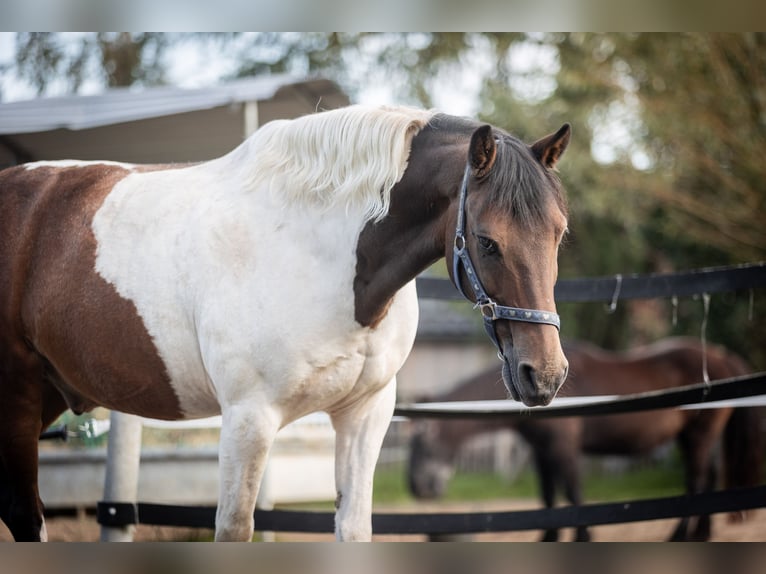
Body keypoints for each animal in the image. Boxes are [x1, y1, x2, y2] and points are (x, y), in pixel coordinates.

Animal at [0, 104, 572, 541]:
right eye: (488, 241)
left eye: (559, 234)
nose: (544, 376)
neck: (318, 250)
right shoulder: (248, 419)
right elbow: (234, 529)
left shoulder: (364, 414)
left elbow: (354, 528)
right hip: (18, 399)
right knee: (27, 516)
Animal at [407, 337, 763, 541]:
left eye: (421, 444)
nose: (417, 488)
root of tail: (722, 357)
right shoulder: (541, 452)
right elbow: (548, 497)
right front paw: (549, 538)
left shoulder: (563, 448)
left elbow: (573, 493)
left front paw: (582, 537)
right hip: (694, 437)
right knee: (709, 478)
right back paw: (701, 534)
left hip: (698, 436)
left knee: (696, 480)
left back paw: (679, 535)